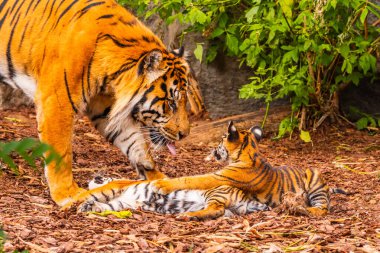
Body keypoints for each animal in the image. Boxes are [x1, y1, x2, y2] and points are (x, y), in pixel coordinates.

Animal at [0, 0, 205, 208]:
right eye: (171, 102)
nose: (184, 134)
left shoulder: (104, 108)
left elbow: (135, 144)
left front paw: (160, 178)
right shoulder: (57, 101)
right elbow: (61, 152)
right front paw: (68, 193)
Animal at [151, 122, 348, 215]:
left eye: (221, 139)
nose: (213, 150)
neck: (248, 151)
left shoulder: (219, 177)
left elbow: (192, 179)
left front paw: (160, 184)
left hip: (314, 176)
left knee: (322, 209)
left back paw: (302, 209)